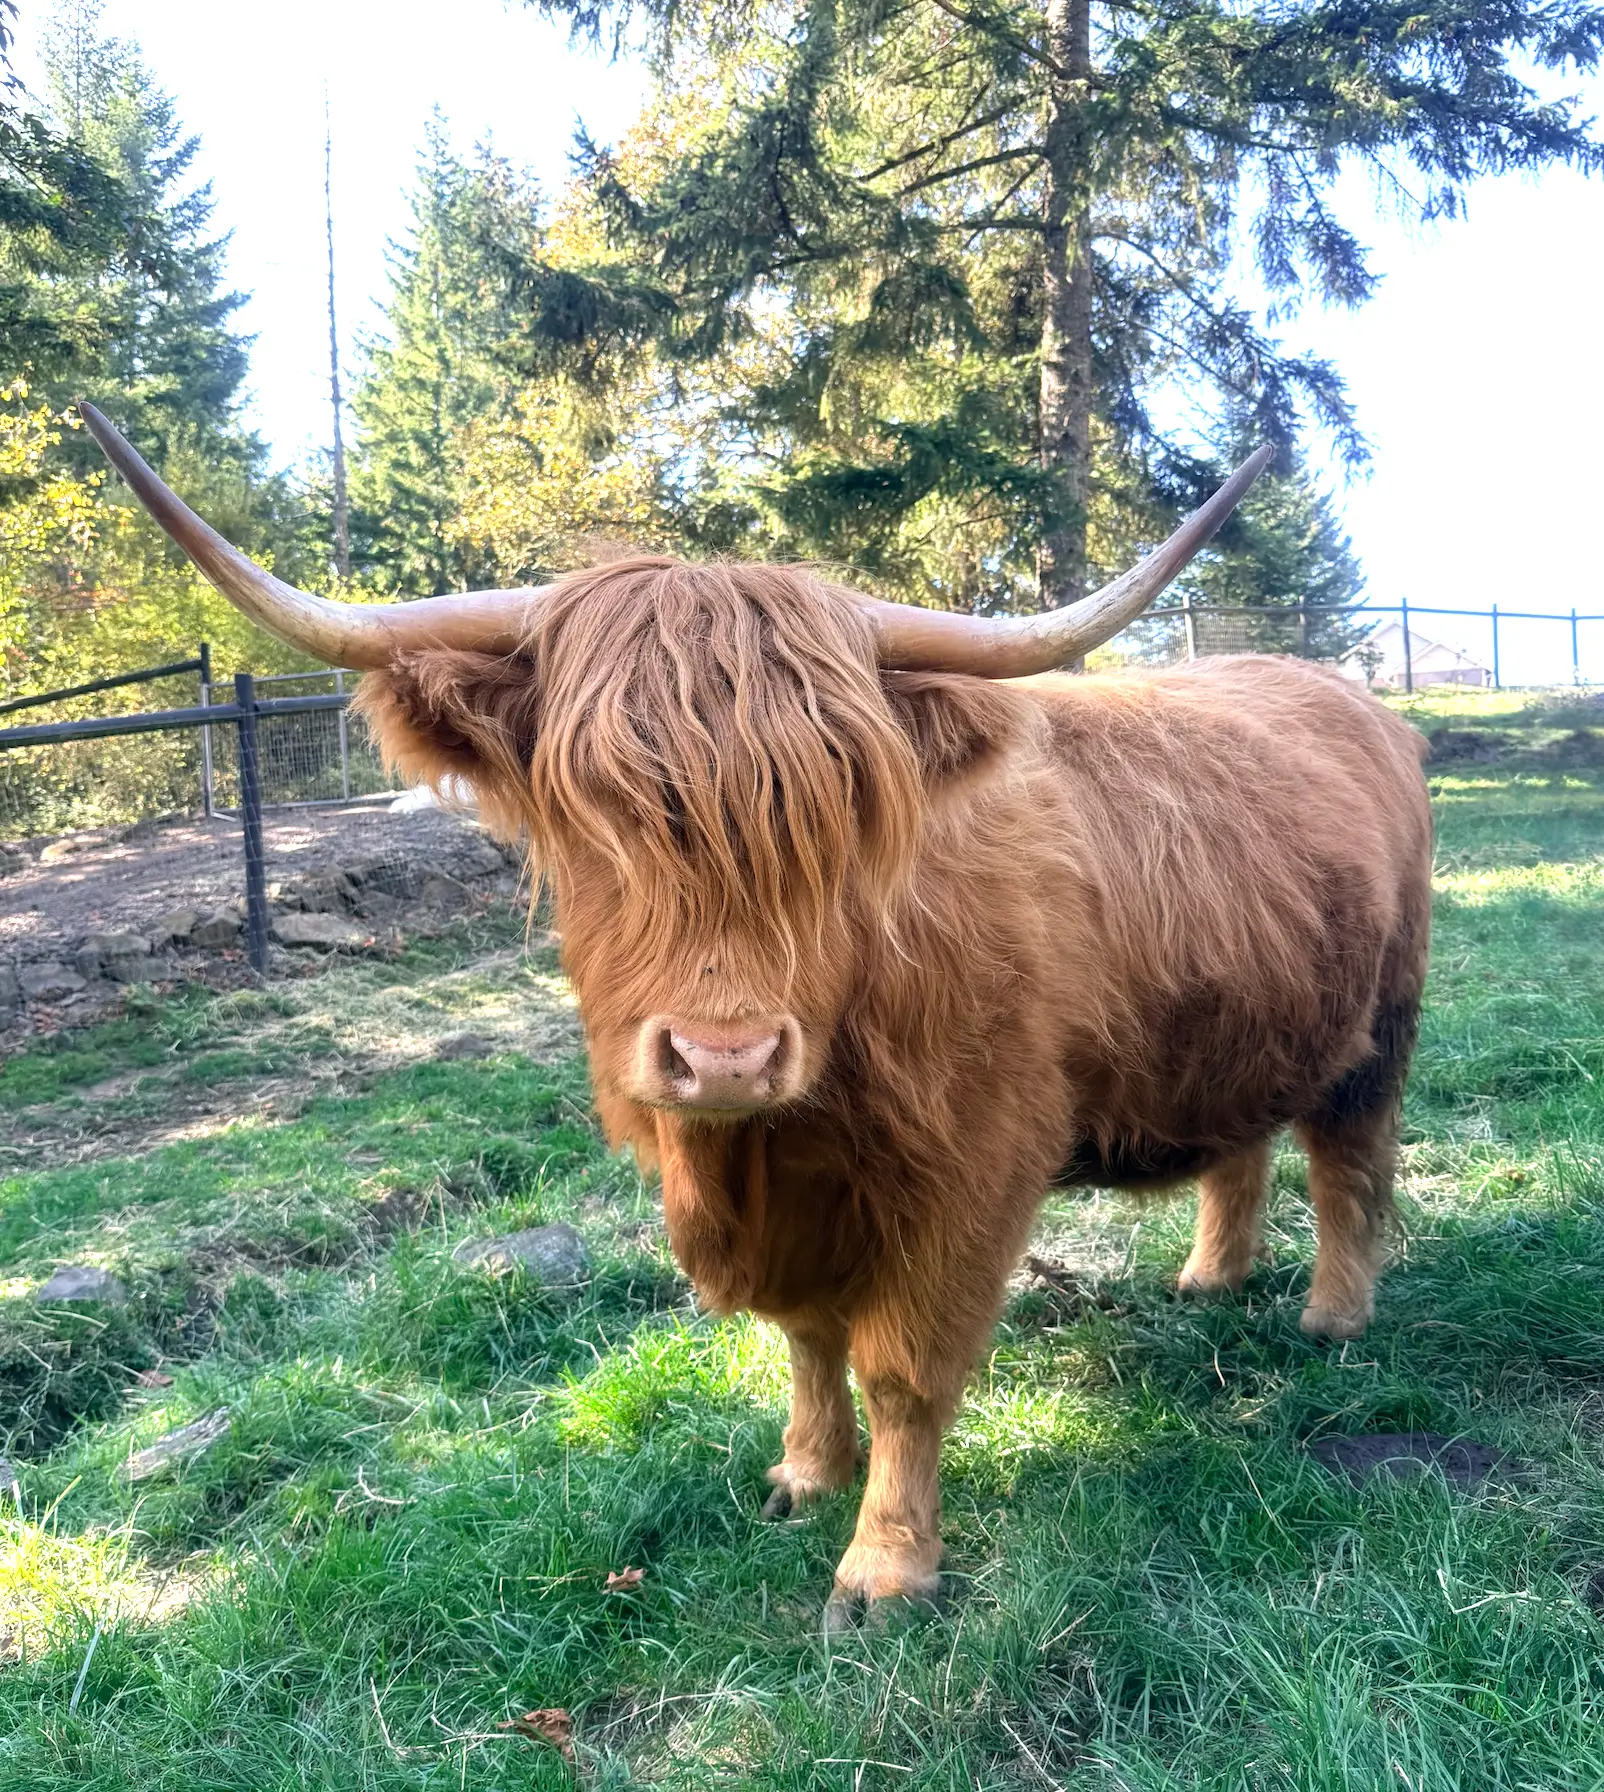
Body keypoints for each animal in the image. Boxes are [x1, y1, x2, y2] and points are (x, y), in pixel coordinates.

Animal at [81, 406, 1432, 1630]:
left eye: (838, 810)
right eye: (590, 813)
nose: (723, 1054)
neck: (777, 1139)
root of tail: (1344, 696)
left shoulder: (974, 1169)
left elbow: (900, 1368)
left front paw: (884, 1567)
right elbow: (805, 1336)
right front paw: (803, 1471)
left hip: (1382, 1021)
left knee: (1348, 1162)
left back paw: (1331, 1317)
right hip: (1246, 1015)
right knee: (1242, 1142)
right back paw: (1208, 1279)